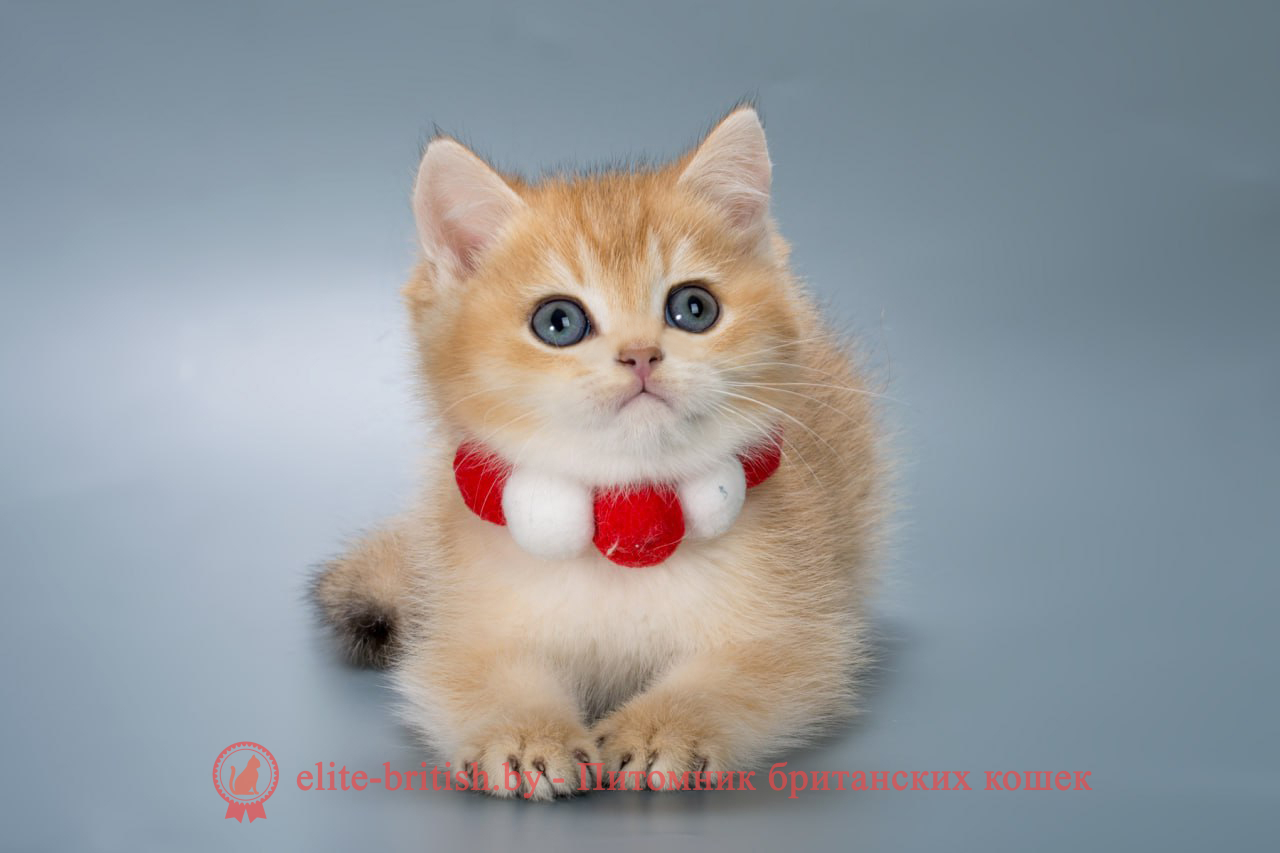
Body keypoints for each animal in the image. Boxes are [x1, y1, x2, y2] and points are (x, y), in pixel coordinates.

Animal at [312, 106, 888, 799]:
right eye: (558, 322)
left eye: (694, 307)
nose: (641, 355)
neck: (625, 518)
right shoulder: (459, 638)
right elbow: (480, 680)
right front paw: (528, 736)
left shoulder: (797, 638)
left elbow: (736, 681)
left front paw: (661, 729)